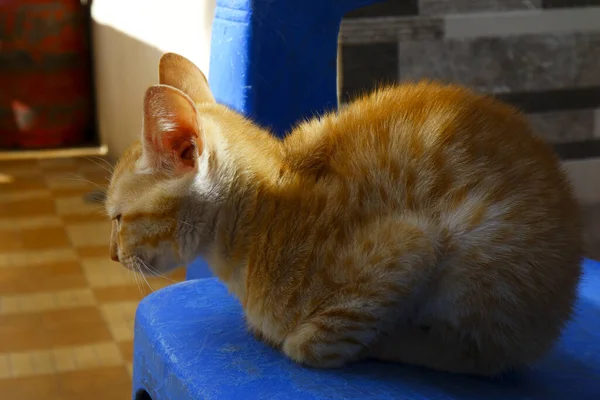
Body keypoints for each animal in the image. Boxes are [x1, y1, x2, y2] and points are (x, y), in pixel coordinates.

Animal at [106, 52, 580, 376]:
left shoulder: (414, 241)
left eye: (118, 218)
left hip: (481, 253)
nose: (112, 256)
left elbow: (309, 344)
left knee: (483, 356)